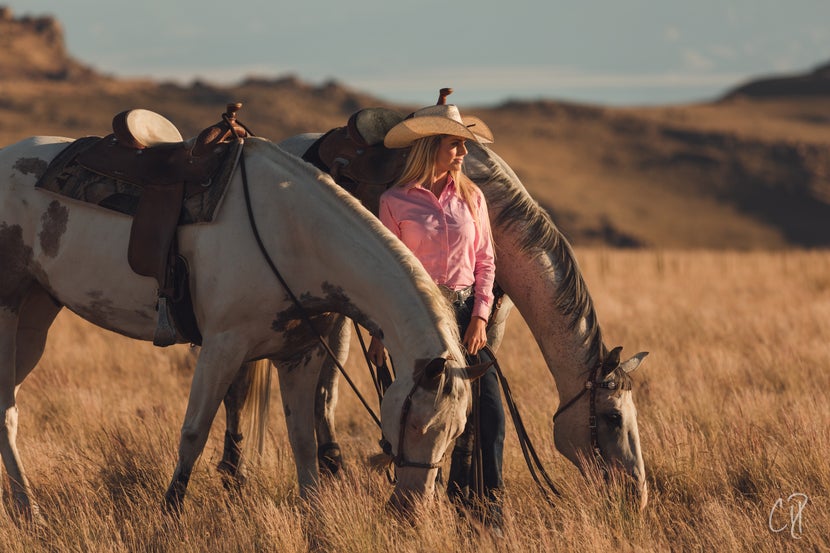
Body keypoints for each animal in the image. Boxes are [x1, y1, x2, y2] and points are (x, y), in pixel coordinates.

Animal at [0, 135, 480, 520]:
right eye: (415, 424)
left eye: (457, 432)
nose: (412, 510)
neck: (294, 232)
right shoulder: (221, 347)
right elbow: (194, 433)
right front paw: (170, 513)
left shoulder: (299, 355)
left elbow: (302, 441)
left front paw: (315, 517)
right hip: (8, 311)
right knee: (6, 411)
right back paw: (29, 509)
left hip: (36, 314)